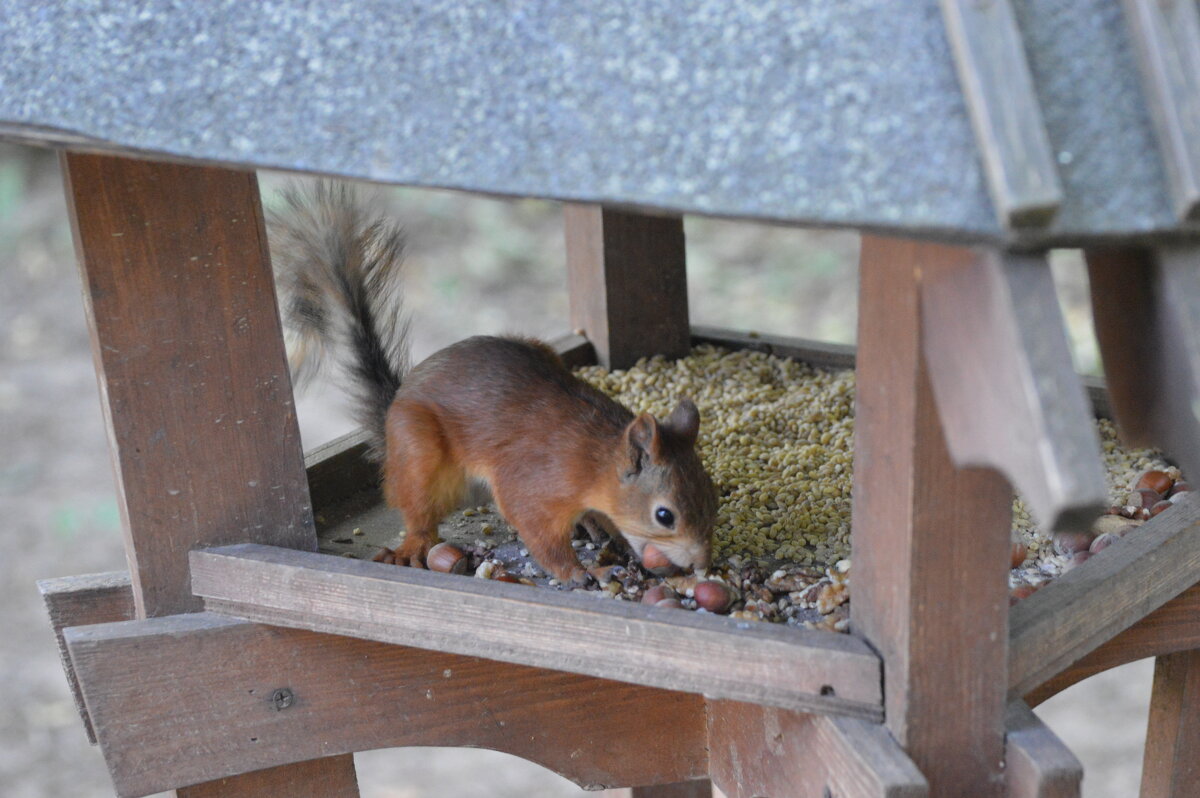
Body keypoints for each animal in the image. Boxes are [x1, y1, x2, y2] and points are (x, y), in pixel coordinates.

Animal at [271, 182, 715, 585]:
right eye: (664, 515)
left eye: (711, 491)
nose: (700, 564)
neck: (596, 463)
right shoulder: (535, 484)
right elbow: (538, 532)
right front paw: (579, 571)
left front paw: (603, 530)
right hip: (417, 451)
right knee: (417, 509)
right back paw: (414, 545)